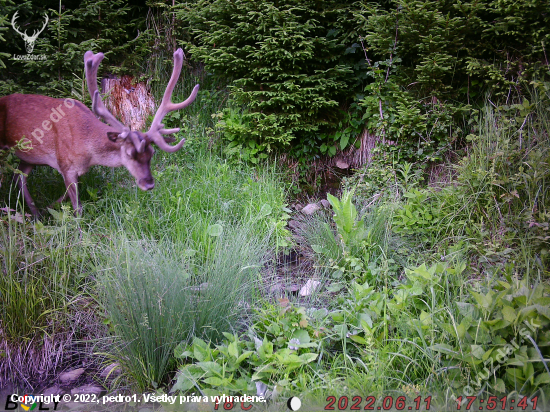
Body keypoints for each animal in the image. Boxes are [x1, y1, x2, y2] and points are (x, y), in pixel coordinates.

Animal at [0, 48, 198, 217]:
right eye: (129, 153)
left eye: (152, 153)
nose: (148, 183)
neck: (88, 149)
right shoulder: (65, 164)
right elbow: (77, 207)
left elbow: (65, 196)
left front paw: (50, 207)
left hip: (28, 156)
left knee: (19, 176)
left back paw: (35, 214)